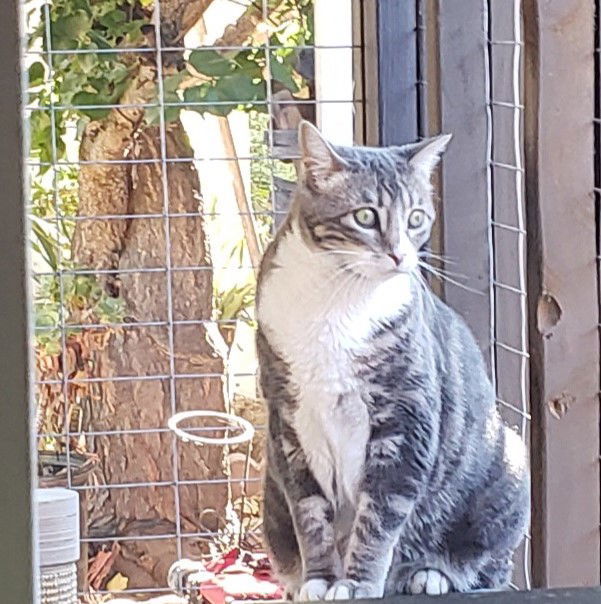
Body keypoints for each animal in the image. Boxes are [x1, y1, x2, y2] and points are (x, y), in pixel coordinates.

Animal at [255, 119, 528, 600]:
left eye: (416, 218)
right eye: (365, 216)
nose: (400, 253)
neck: (337, 301)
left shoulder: (407, 415)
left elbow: (379, 518)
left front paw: (358, 584)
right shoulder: (289, 420)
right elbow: (310, 514)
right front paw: (320, 581)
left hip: (507, 468)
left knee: (490, 564)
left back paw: (430, 574)